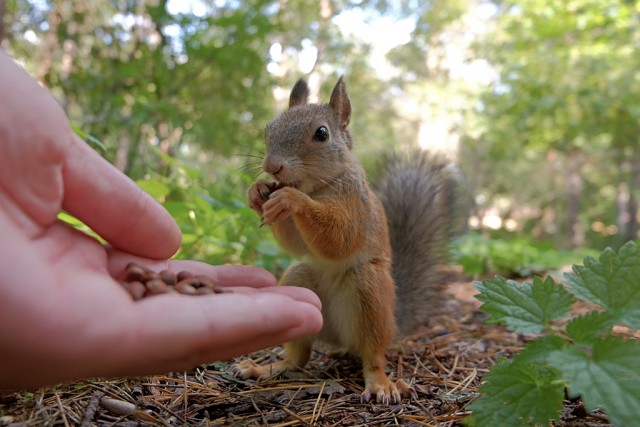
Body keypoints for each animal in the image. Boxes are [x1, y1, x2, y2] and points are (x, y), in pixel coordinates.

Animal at [235, 76, 456, 404]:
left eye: (321, 133)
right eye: (268, 129)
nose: (272, 167)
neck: (315, 187)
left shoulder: (355, 205)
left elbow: (340, 239)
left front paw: (290, 199)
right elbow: (296, 245)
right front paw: (256, 191)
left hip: (370, 291)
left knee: (372, 354)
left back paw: (380, 384)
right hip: (300, 281)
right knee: (298, 358)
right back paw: (266, 368)